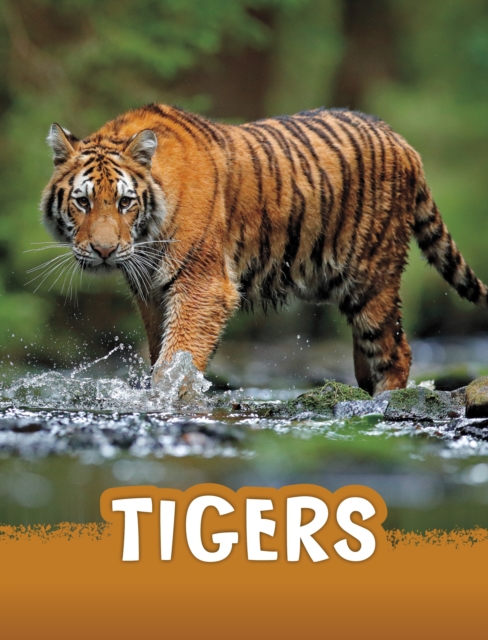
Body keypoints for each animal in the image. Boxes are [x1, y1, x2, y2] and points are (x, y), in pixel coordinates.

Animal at [41, 104, 488, 396]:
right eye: (83, 202)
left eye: (124, 202)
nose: (103, 250)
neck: (147, 235)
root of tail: (402, 142)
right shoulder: (151, 291)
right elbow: (160, 351)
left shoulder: (203, 285)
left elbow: (176, 358)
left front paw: (167, 397)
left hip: (372, 278)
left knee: (397, 352)